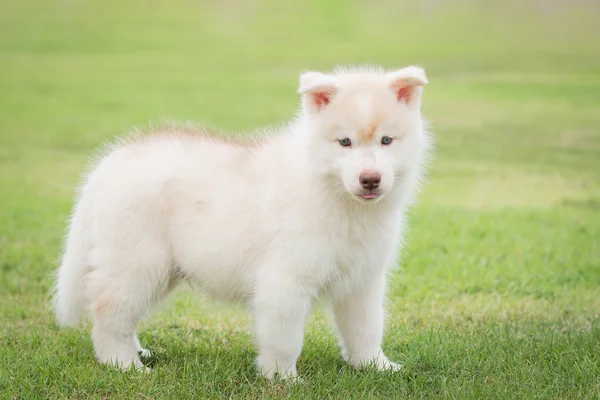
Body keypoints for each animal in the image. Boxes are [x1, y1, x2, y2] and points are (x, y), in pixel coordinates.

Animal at [52, 65, 432, 378]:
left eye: (386, 140)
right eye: (345, 142)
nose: (370, 179)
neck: (339, 200)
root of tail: (110, 163)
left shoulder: (363, 280)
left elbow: (366, 329)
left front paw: (376, 367)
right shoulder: (285, 280)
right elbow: (284, 339)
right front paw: (283, 379)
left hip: (157, 270)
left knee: (123, 313)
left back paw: (137, 352)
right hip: (138, 262)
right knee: (108, 311)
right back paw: (124, 364)